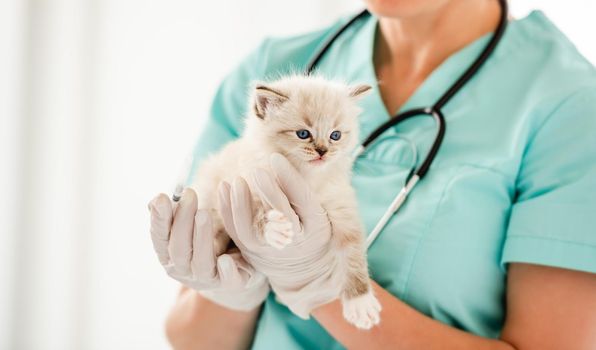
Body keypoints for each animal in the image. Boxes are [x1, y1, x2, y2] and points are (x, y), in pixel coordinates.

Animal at [191, 75, 382, 330]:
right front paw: (275, 229)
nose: (322, 151)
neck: (304, 178)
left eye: (335, 135)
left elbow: (353, 257)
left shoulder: (342, 210)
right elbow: (256, 218)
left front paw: (360, 302)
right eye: (303, 134)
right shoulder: (244, 193)